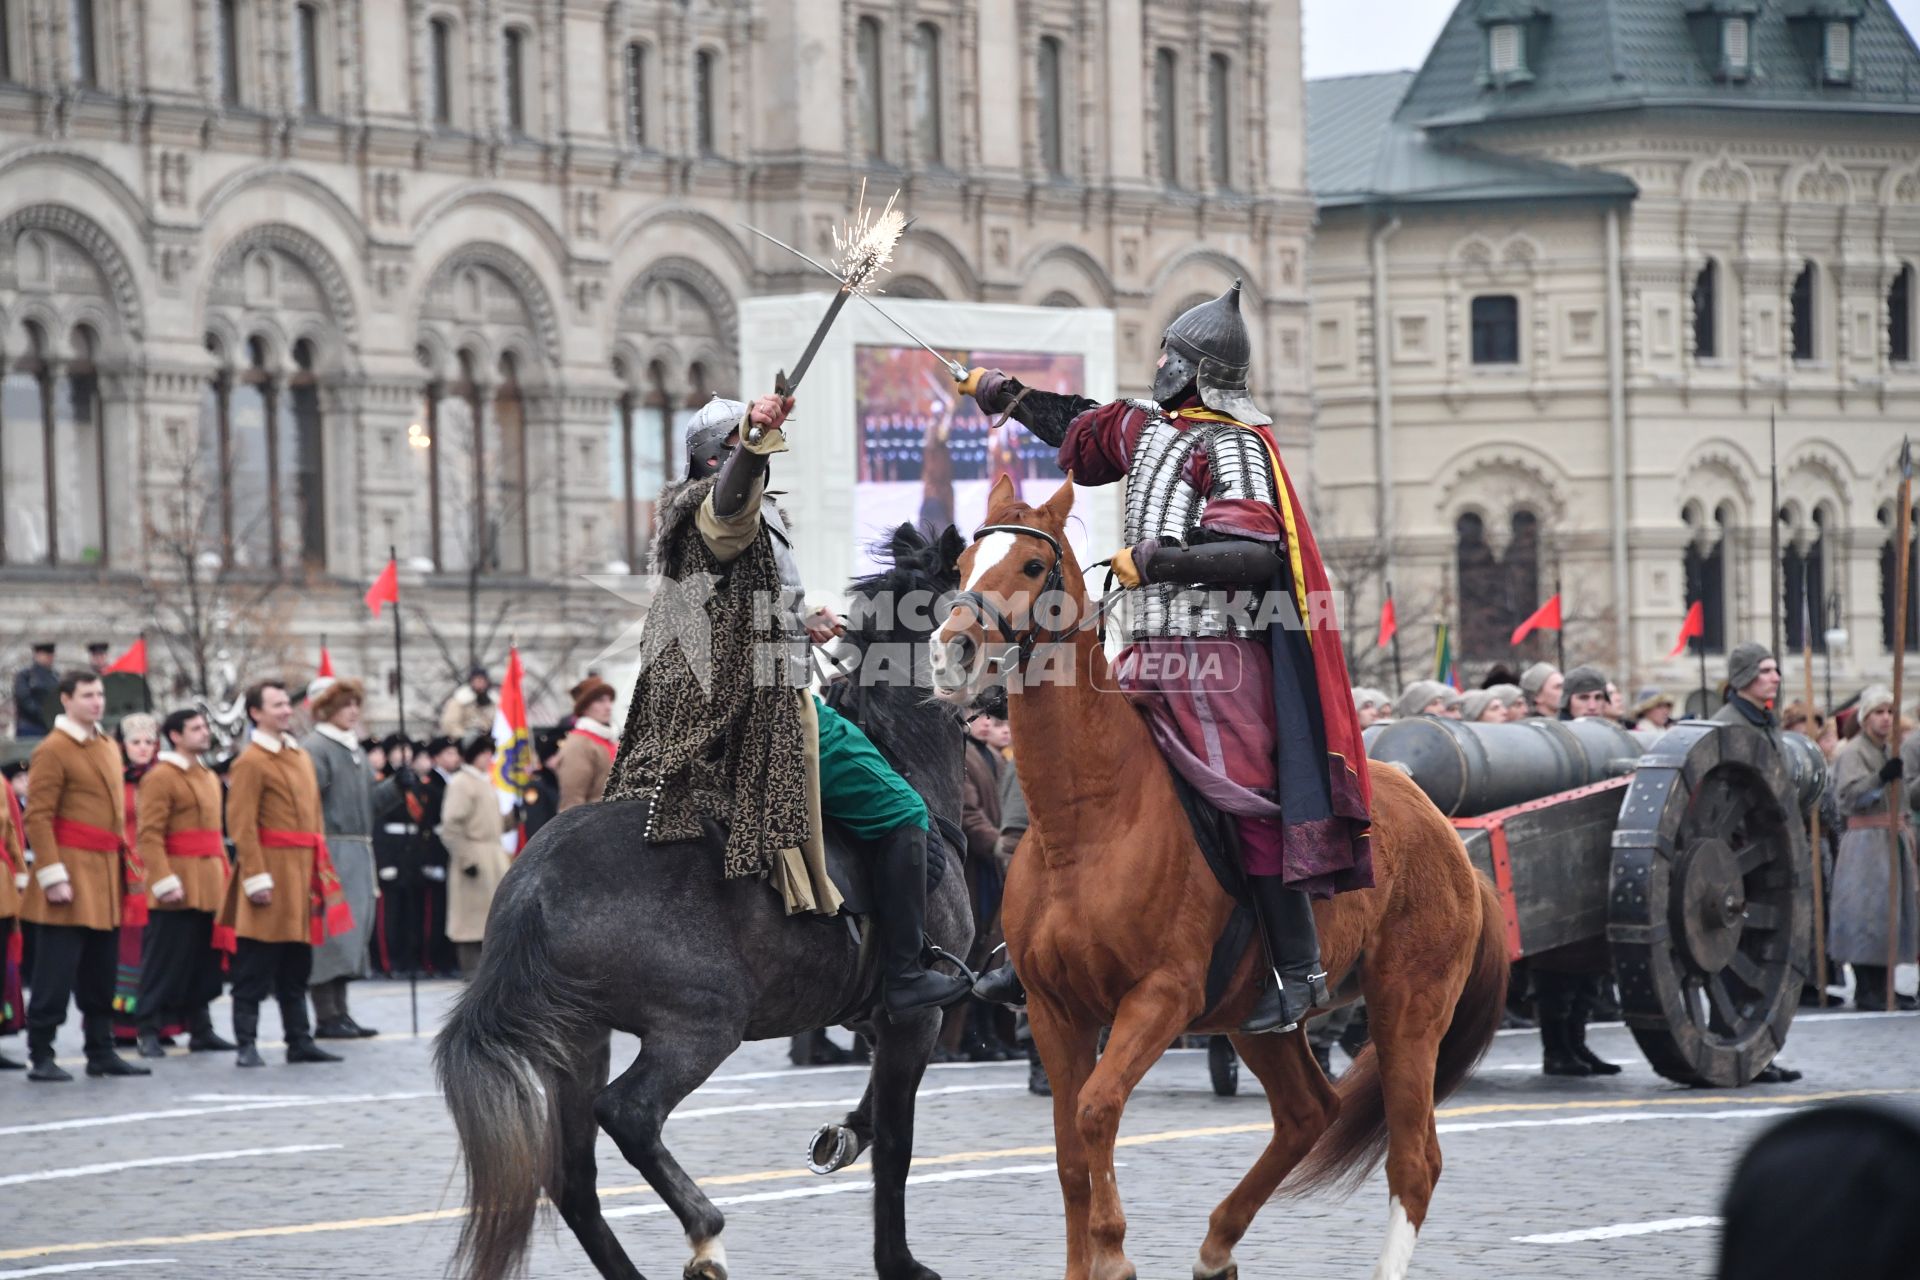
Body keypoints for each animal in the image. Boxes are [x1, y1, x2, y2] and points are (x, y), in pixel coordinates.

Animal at [435, 525, 975, 1280]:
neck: (906, 762)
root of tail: (533, 883)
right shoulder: (912, 1020)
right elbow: (896, 1141)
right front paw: (899, 1261)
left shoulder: (875, 1021)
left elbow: (872, 1121)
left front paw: (841, 1137)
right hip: (700, 1025)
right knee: (628, 1115)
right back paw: (705, 1230)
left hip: (576, 1039)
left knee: (573, 1178)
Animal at [929, 479, 1497, 1280]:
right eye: (965, 562)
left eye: (1035, 566)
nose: (951, 652)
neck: (1088, 823)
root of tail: (1449, 834)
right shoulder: (1052, 1010)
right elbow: (1070, 1157)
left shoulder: (1160, 998)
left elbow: (1097, 1110)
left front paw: (1114, 1251)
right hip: (1254, 1018)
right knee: (1309, 1112)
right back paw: (1217, 1244)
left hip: (1408, 1009)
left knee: (1413, 1162)